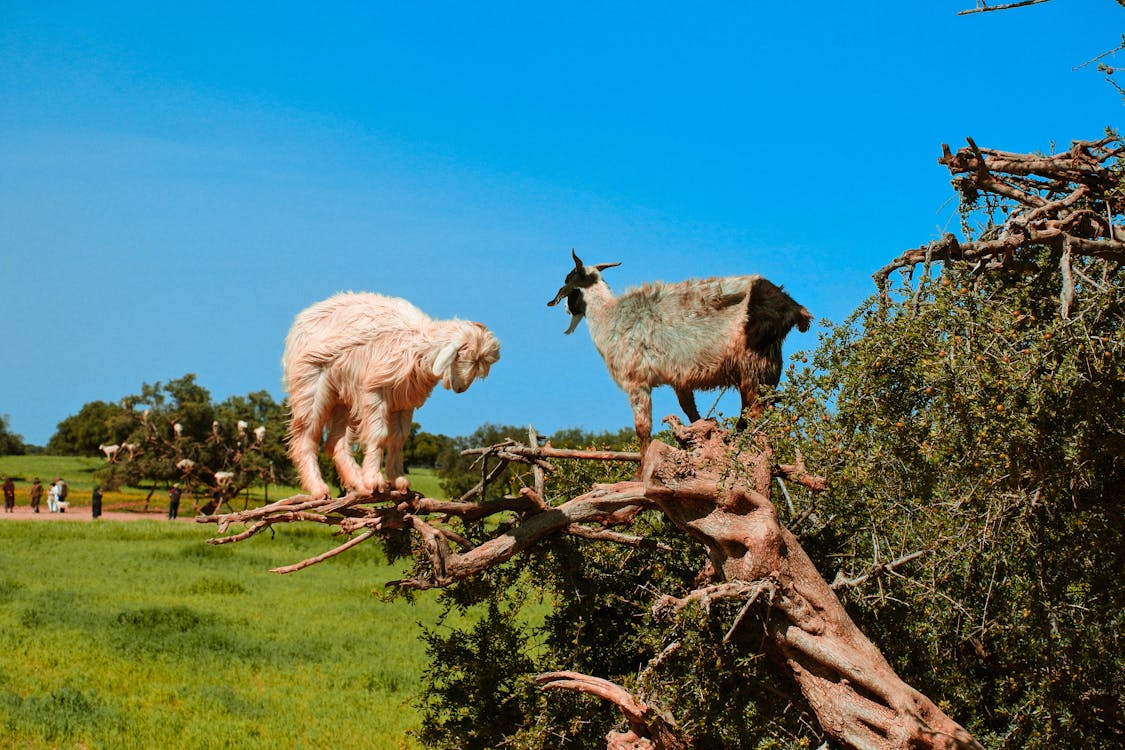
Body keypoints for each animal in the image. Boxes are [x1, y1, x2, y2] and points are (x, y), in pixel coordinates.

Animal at [283, 291, 500, 498]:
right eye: (461, 356)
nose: (461, 388)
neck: (418, 345)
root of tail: (302, 318)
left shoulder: (404, 402)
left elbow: (398, 439)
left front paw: (397, 480)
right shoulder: (375, 391)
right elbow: (379, 435)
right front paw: (375, 479)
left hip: (344, 397)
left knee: (337, 442)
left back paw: (358, 483)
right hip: (310, 385)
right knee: (305, 437)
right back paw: (319, 488)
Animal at [548, 250, 812, 461]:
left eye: (569, 283)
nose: (563, 308)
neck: (609, 316)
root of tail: (793, 307)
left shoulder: (637, 382)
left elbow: (643, 430)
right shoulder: (679, 380)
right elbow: (691, 413)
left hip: (753, 364)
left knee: (754, 411)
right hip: (769, 365)